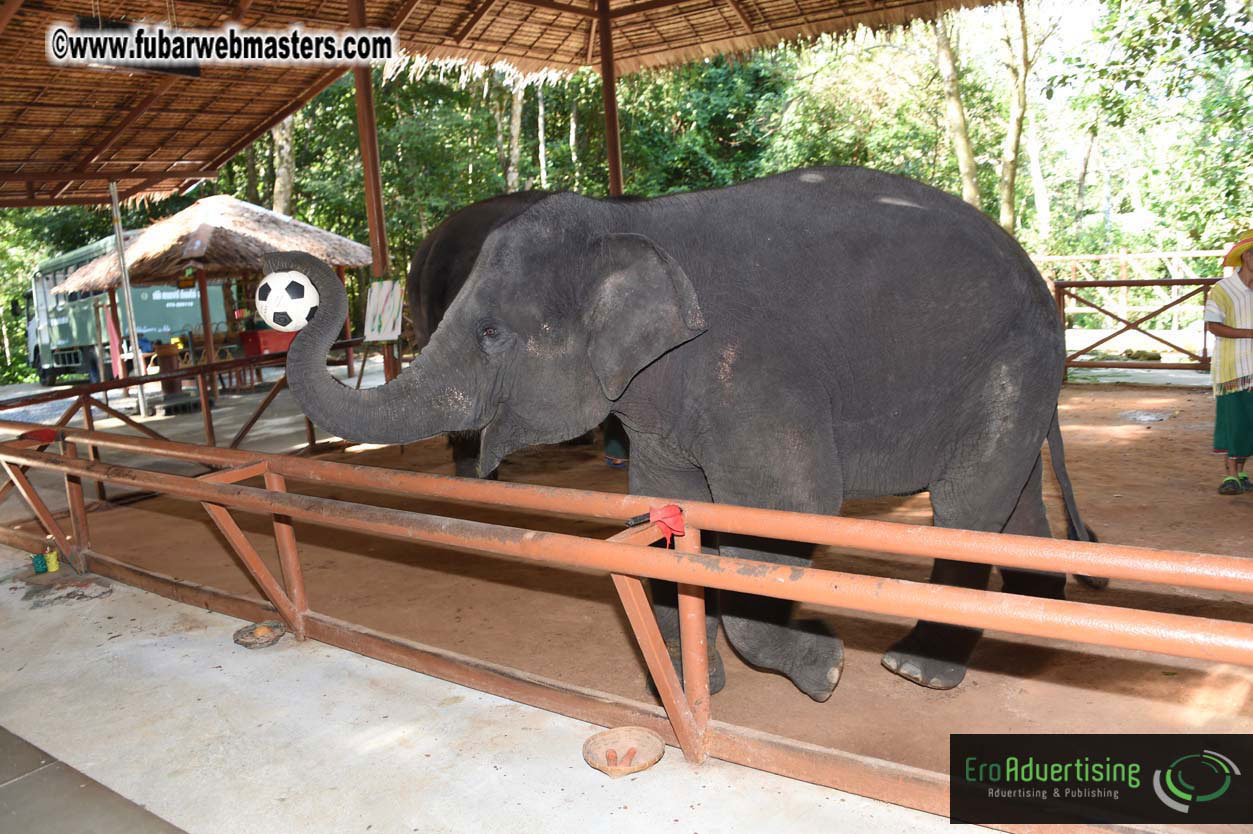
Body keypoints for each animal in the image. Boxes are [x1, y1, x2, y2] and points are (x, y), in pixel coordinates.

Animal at [267, 165, 1097, 699]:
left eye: (493, 334)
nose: (302, 275)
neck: (629, 220)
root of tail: (1034, 275)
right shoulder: (664, 403)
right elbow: (664, 508)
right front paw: (696, 679)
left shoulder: (751, 368)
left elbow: (789, 509)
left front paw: (825, 669)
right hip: (1010, 376)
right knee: (1010, 500)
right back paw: (1029, 633)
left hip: (1008, 360)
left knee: (965, 504)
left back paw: (915, 669)